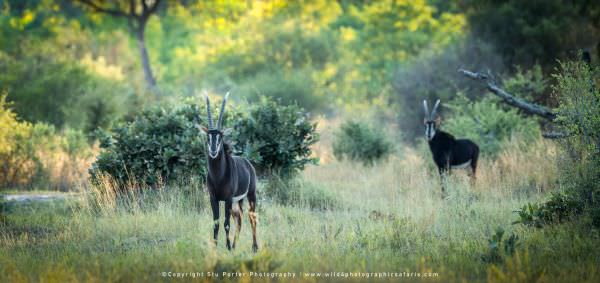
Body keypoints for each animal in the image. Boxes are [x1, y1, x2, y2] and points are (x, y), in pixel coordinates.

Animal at [202, 93, 258, 253]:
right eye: (208, 136)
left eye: (220, 136)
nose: (213, 151)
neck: (218, 176)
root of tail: (248, 164)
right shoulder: (213, 198)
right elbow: (216, 223)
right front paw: (215, 247)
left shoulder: (227, 199)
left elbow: (226, 223)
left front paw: (226, 247)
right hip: (237, 201)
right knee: (239, 220)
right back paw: (234, 245)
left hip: (250, 196)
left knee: (252, 218)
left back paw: (254, 247)